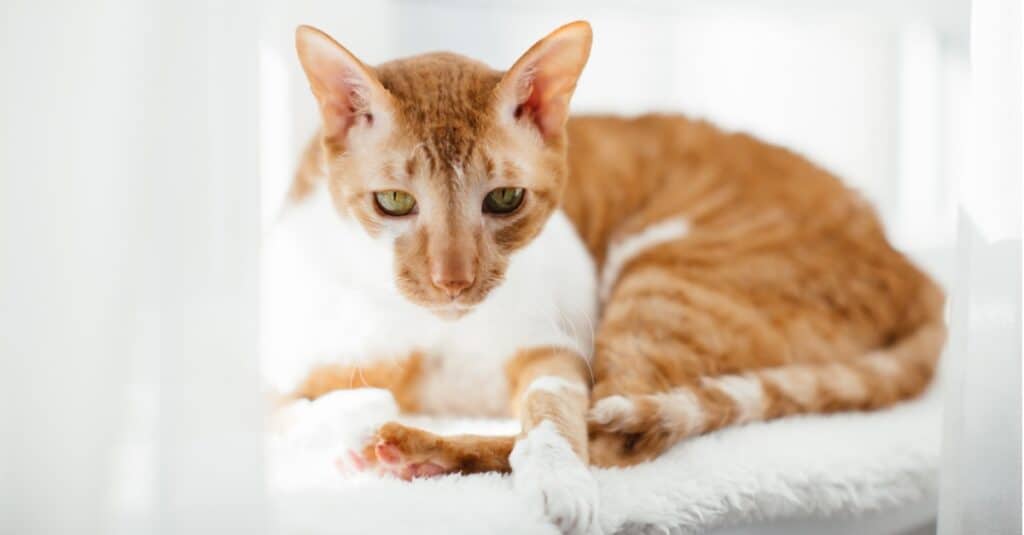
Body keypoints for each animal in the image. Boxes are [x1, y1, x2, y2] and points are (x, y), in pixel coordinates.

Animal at [264, 18, 942, 532]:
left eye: (504, 199)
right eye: (395, 203)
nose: (452, 281)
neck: (442, 333)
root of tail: (910, 264)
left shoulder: (556, 349)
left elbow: (555, 415)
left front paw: (557, 481)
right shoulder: (272, 386)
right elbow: (318, 406)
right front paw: (357, 420)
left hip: (664, 277)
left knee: (618, 432)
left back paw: (417, 450)